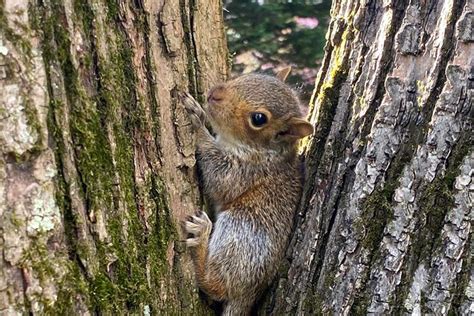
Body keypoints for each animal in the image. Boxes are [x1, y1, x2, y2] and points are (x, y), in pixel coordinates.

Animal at [180, 68, 312, 314]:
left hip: (242, 231)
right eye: (252, 76)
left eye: (259, 119)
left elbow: (220, 178)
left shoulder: (247, 171)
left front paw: (198, 124)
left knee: (217, 286)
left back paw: (201, 239)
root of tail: (249, 294)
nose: (214, 94)